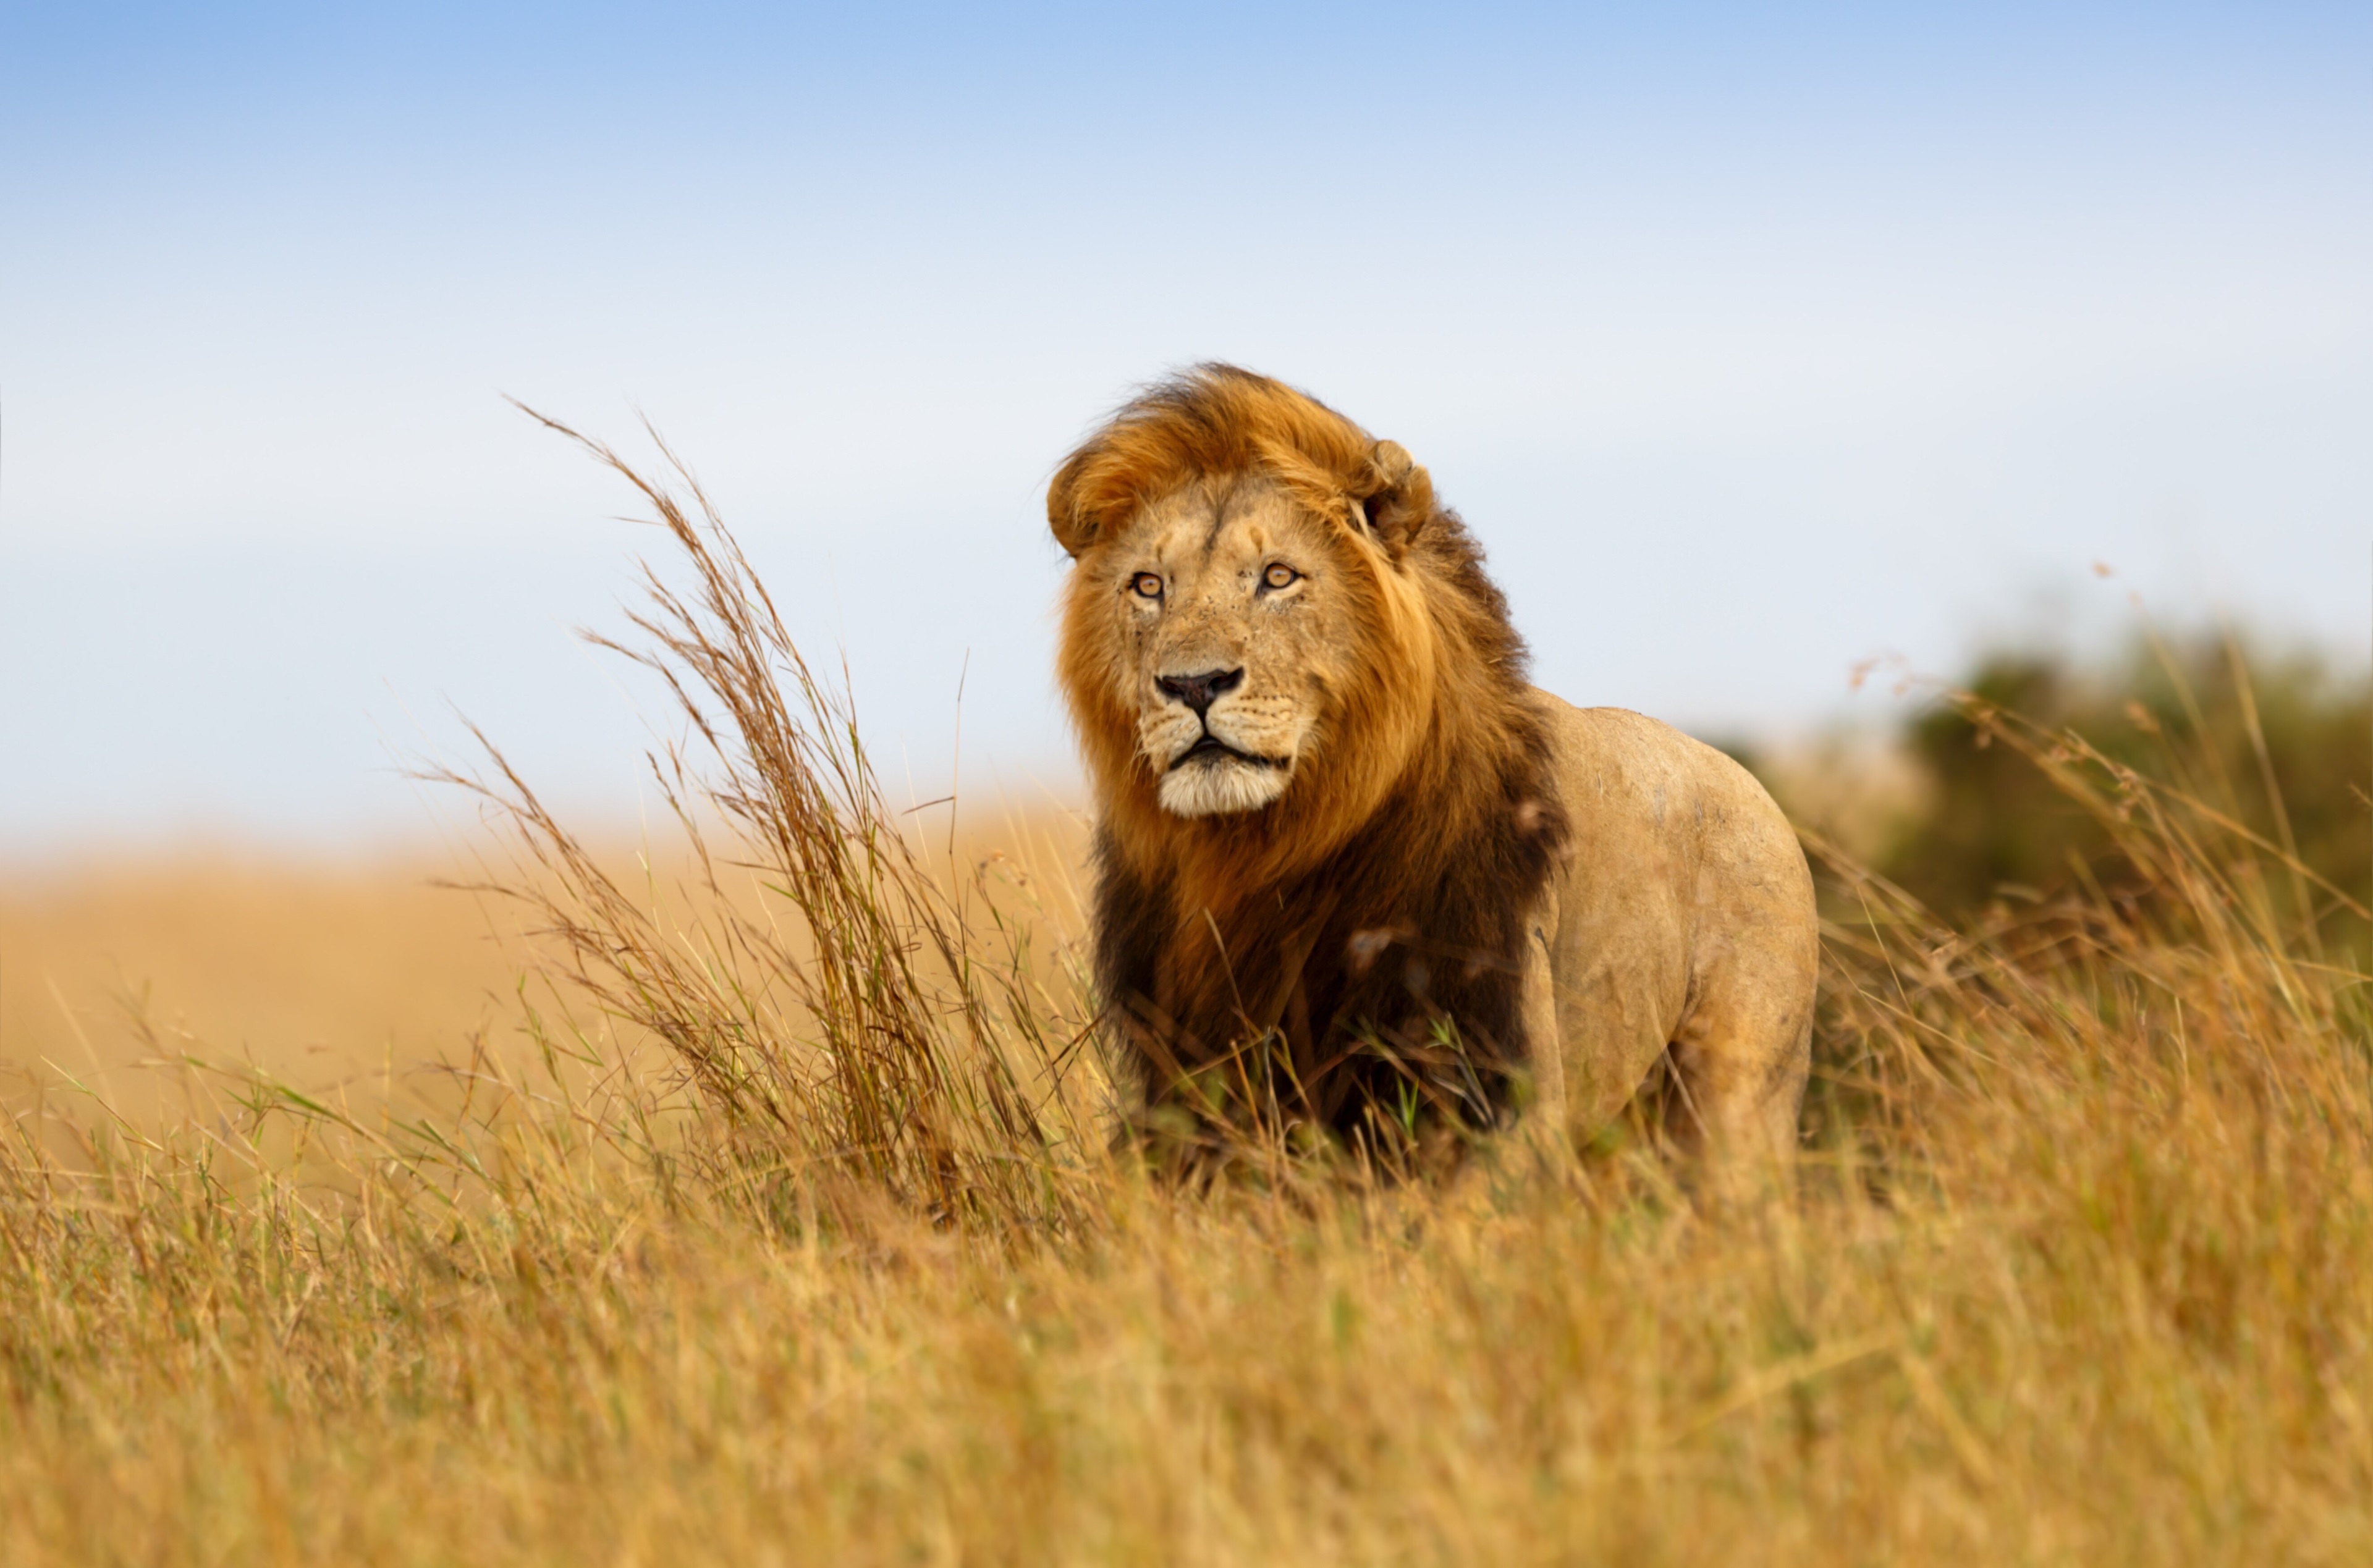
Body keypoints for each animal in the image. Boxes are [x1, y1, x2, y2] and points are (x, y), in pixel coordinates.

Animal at [1049, 365, 1819, 1181]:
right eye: (1148, 586)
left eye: (1278, 577)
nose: (1193, 685)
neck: (1263, 851)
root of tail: (1756, 791)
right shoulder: (1192, 1079)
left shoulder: (1494, 1073)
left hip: (1740, 1098)